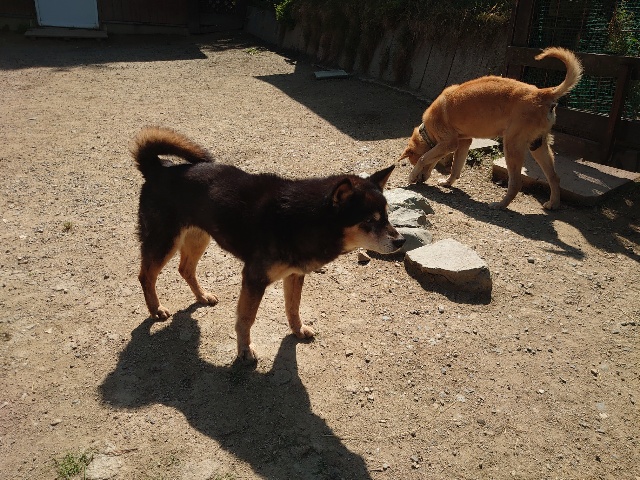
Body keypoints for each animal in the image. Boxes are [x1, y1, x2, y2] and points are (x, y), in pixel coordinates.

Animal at [132, 127, 405, 363]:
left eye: (387, 215)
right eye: (370, 221)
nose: (401, 240)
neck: (307, 219)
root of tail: (158, 168)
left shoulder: (294, 274)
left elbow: (293, 307)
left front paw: (297, 330)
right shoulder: (254, 278)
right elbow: (246, 319)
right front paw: (244, 351)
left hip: (199, 237)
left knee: (185, 268)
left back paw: (202, 296)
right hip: (164, 241)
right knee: (146, 275)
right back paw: (155, 309)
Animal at [399, 47, 583, 210]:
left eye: (412, 162)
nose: (419, 181)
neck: (428, 132)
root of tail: (543, 93)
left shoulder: (449, 144)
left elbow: (425, 158)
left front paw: (412, 175)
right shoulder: (464, 142)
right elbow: (455, 168)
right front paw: (447, 182)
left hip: (512, 146)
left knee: (516, 183)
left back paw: (500, 205)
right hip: (537, 146)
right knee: (554, 177)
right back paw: (553, 204)